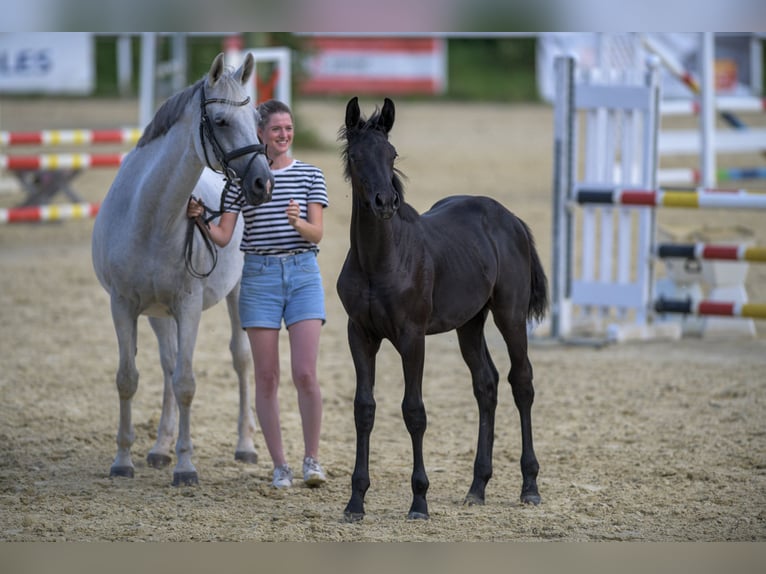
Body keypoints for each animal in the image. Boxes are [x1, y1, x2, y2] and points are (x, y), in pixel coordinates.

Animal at [92, 53, 276, 486]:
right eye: (221, 121)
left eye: (256, 119)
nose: (262, 183)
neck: (150, 217)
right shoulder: (123, 305)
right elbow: (128, 379)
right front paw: (122, 461)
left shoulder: (189, 305)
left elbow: (187, 383)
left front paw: (186, 467)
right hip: (159, 314)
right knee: (168, 362)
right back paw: (160, 448)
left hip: (236, 294)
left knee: (241, 359)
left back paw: (245, 445)